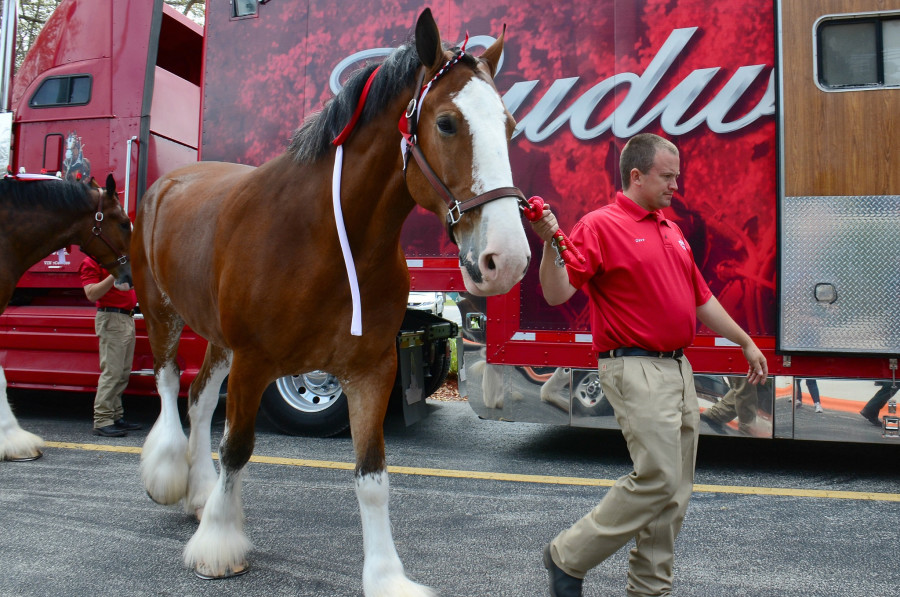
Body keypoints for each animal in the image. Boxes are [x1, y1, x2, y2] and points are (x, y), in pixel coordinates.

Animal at [133, 8, 530, 595]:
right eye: (446, 124)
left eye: (509, 126)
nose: (507, 257)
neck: (321, 237)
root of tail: (171, 181)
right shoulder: (254, 361)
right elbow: (238, 447)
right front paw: (219, 544)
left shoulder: (371, 369)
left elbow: (372, 475)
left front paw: (387, 575)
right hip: (163, 313)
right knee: (166, 385)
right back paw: (168, 475)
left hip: (219, 339)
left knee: (199, 398)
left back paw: (200, 494)